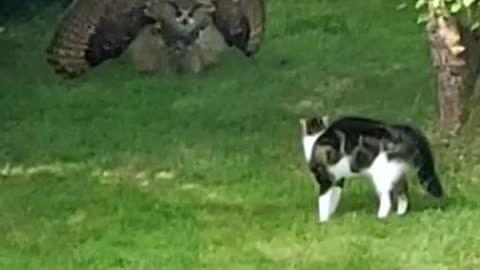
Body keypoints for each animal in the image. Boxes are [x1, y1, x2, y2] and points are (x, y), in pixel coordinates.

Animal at [298, 115, 444, 223]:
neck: (316, 138)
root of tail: (396, 128)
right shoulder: (338, 179)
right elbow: (334, 197)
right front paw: (331, 214)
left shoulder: (325, 178)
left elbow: (323, 200)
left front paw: (323, 220)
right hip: (396, 170)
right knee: (403, 194)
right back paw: (400, 215)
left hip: (381, 174)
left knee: (387, 198)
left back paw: (381, 217)